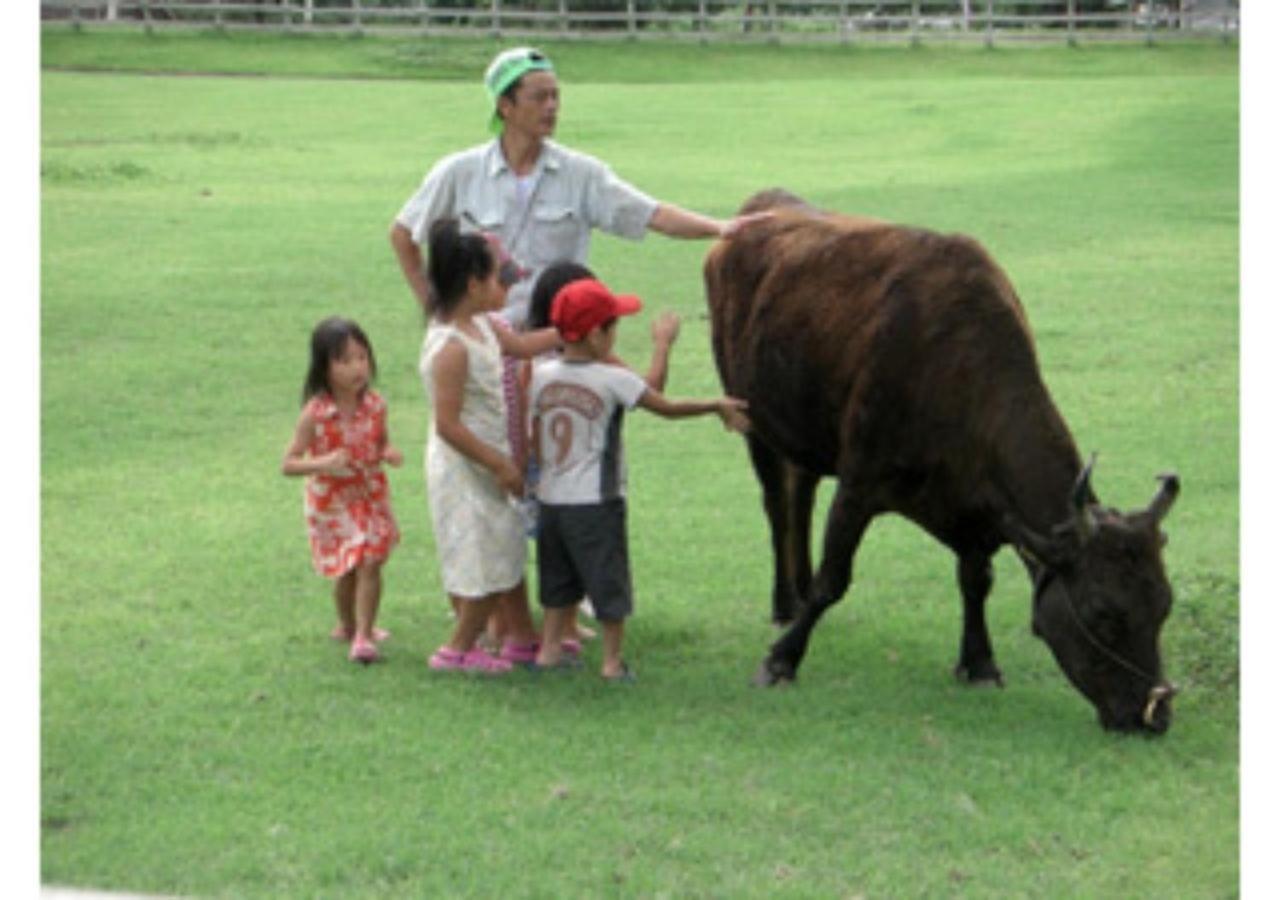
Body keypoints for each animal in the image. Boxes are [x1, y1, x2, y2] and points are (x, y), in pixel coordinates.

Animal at [711, 188, 1177, 732]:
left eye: (1164, 605)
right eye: (1104, 613)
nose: (1154, 715)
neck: (954, 371)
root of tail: (762, 205)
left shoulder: (976, 508)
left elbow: (976, 581)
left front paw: (979, 662)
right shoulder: (859, 483)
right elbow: (834, 580)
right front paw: (781, 659)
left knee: (800, 491)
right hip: (750, 416)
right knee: (776, 505)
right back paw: (787, 601)